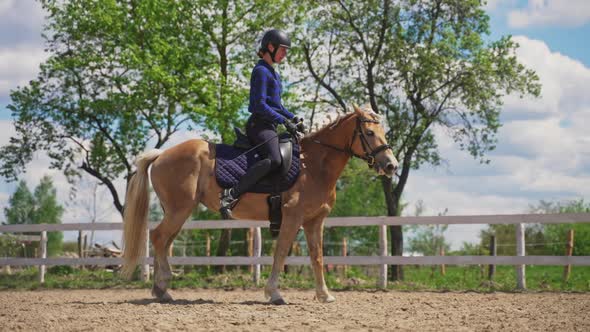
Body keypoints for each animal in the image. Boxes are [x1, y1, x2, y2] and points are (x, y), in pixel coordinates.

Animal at [122, 104, 400, 304]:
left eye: (383, 133)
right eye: (369, 133)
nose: (391, 165)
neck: (314, 165)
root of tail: (162, 154)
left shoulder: (314, 221)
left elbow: (317, 256)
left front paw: (324, 295)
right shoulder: (292, 218)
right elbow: (280, 253)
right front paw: (274, 293)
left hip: (178, 212)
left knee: (164, 241)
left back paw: (161, 289)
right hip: (179, 210)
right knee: (159, 237)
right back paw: (162, 287)